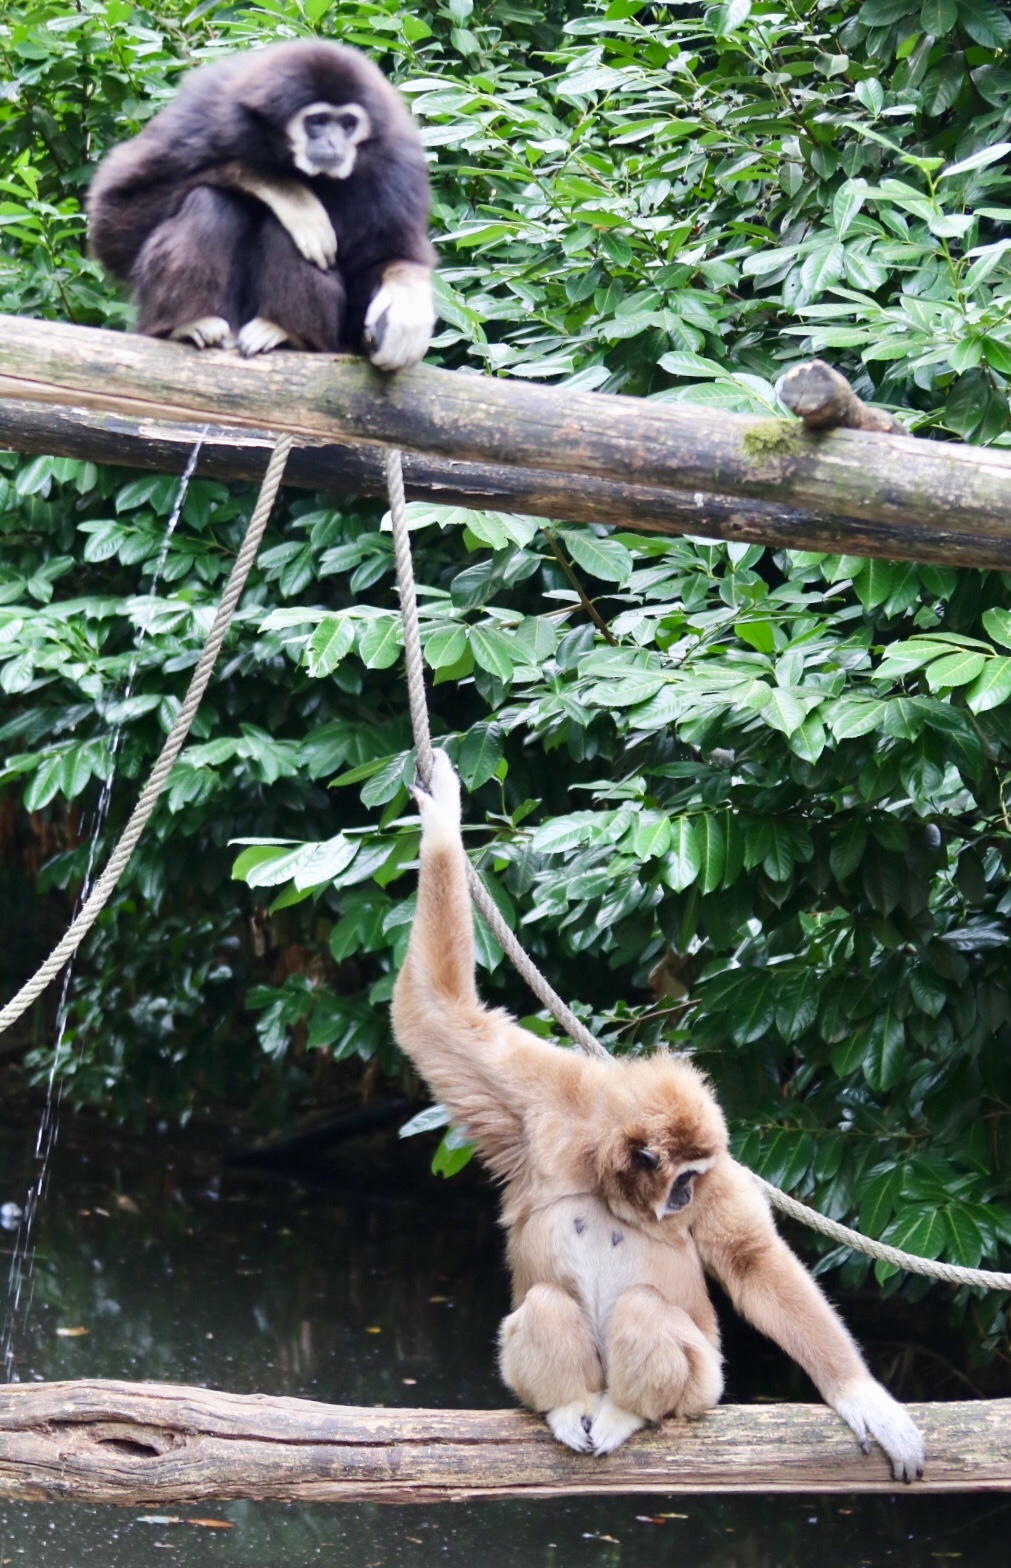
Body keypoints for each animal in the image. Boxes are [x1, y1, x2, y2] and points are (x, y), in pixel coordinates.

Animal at [87, 41, 436, 371]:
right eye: (318, 121)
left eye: (348, 124)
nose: (333, 142)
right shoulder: (204, 113)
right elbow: (116, 220)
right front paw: (288, 192)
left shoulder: (395, 158)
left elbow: (386, 258)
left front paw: (406, 302)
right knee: (211, 201)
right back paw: (188, 323)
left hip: (331, 340)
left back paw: (286, 331)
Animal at [391, 752, 926, 1479]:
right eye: (682, 1178)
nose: (685, 1199)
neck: (603, 1174)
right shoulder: (538, 1101)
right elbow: (434, 1014)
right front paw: (444, 819)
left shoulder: (726, 1177)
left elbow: (754, 1263)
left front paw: (861, 1396)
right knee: (545, 1305)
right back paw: (571, 1404)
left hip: (704, 1383)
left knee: (644, 1311)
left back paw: (626, 1412)